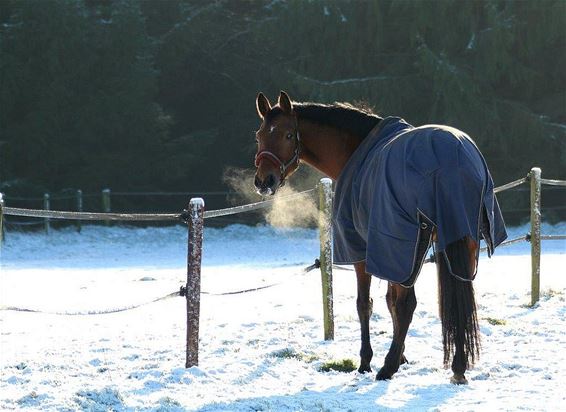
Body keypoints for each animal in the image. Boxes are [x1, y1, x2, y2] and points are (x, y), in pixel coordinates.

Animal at [255, 91, 508, 386]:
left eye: (287, 135)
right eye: (259, 135)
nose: (264, 181)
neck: (356, 148)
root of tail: (452, 161)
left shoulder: (366, 250)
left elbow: (366, 304)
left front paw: (367, 361)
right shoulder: (389, 254)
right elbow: (390, 302)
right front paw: (402, 355)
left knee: (409, 305)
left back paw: (387, 368)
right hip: (460, 239)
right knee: (458, 302)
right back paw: (458, 367)